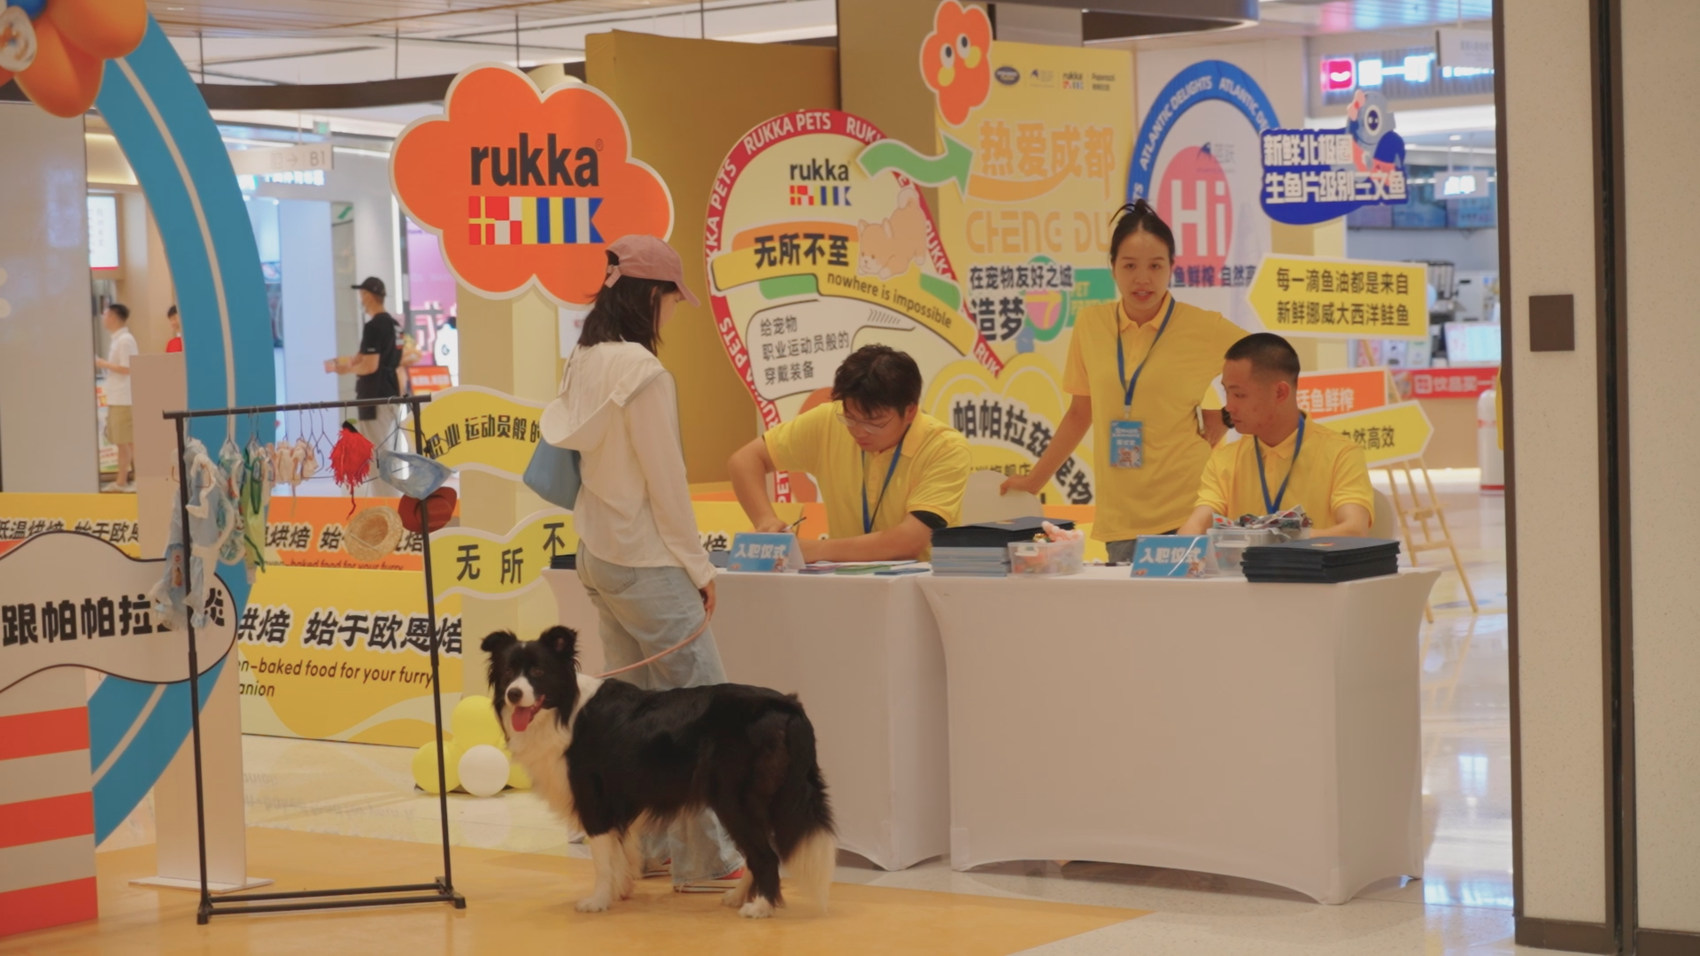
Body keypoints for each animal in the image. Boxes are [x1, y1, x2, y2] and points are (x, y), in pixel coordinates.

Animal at [482, 626, 837, 918]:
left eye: (538, 671)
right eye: (509, 671)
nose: (514, 694)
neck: (562, 711)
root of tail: (787, 705)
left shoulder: (594, 801)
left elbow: (602, 859)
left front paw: (597, 901)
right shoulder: (619, 805)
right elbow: (621, 852)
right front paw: (620, 891)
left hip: (734, 798)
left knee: (765, 854)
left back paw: (759, 907)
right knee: (758, 851)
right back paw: (739, 896)